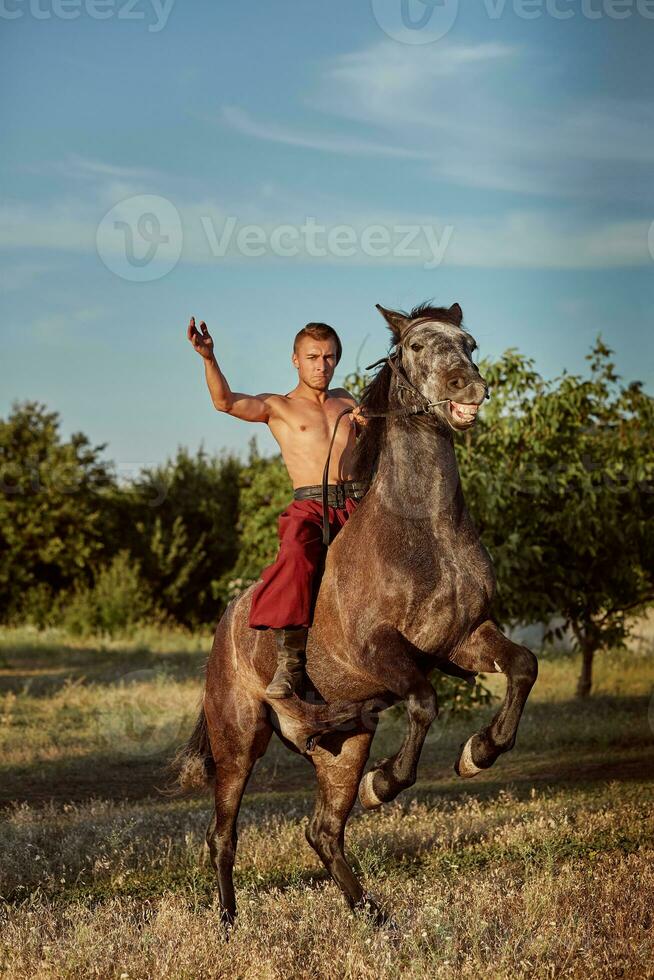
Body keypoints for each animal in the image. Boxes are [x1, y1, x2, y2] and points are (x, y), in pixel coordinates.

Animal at [173, 298, 540, 928]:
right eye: (416, 346)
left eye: (469, 343)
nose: (468, 386)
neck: (423, 529)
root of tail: (226, 627)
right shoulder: (381, 649)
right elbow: (424, 701)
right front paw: (387, 783)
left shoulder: (465, 637)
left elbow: (523, 666)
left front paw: (479, 753)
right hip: (238, 741)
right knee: (223, 835)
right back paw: (227, 923)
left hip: (344, 744)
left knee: (323, 832)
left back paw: (373, 915)